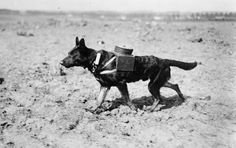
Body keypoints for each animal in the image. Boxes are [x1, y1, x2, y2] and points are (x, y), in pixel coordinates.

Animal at [60, 37, 197, 113]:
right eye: (68, 53)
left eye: (72, 55)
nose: (61, 62)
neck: (97, 60)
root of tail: (163, 60)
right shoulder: (105, 86)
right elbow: (99, 100)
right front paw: (92, 110)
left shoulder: (121, 84)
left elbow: (126, 98)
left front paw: (134, 110)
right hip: (158, 81)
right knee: (175, 85)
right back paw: (182, 98)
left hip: (153, 85)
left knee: (159, 98)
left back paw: (150, 110)